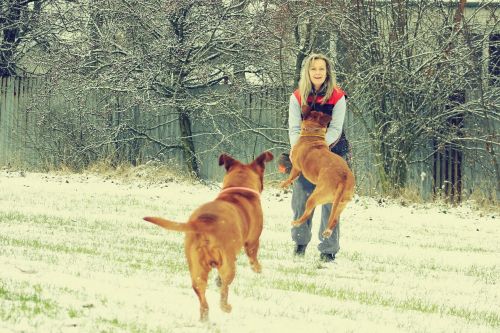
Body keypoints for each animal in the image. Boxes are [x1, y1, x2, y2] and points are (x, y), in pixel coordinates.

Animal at [144, 152, 274, 320]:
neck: (236, 190)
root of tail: (203, 222)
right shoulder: (252, 241)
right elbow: (253, 258)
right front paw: (258, 270)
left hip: (197, 269)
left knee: (202, 297)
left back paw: (204, 319)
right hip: (228, 265)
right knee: (224, 288)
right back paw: (225, 307)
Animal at [282, 111, 356, 239]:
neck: (312, 136)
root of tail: (343, 179)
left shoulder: (296, 168)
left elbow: (291, 176)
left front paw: (284, 184)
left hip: (313, 197)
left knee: (306, 215)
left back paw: (296, 222)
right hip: (340, 204)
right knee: (334, 220)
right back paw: (328, 232)